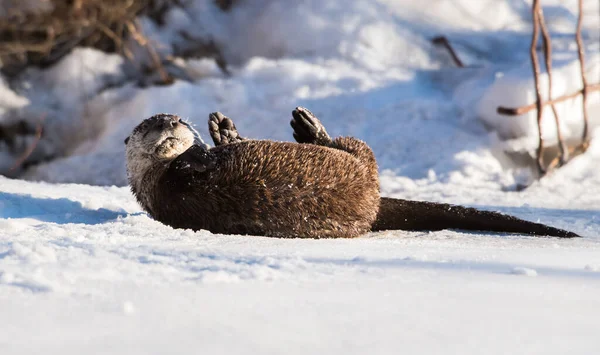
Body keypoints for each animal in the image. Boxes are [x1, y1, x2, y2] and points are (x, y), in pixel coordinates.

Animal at [124, 106, 580, 239]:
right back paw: (307, 128)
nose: (173, 121)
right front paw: (206, 152)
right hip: (362, 162)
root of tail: (373, 203)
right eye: (149, 124)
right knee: (357, 147)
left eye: (172, 117)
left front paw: (219, 133)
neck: (159, 181)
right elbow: (197, 166)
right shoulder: (173, 185)